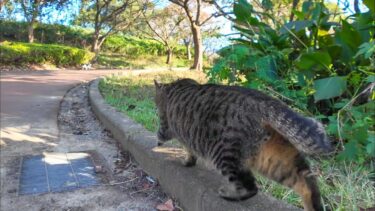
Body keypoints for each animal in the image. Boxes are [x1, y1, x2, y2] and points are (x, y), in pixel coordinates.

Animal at [154, 78, 334, 210]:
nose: (154, 103)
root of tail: (260, 100)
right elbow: (189, 149)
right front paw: (189, 160)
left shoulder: (166, 124)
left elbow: (163, 136)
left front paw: (162, 148)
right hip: (276, 160)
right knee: (307, 182)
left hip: (225, 153)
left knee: (250, 186)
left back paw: (229, 195)